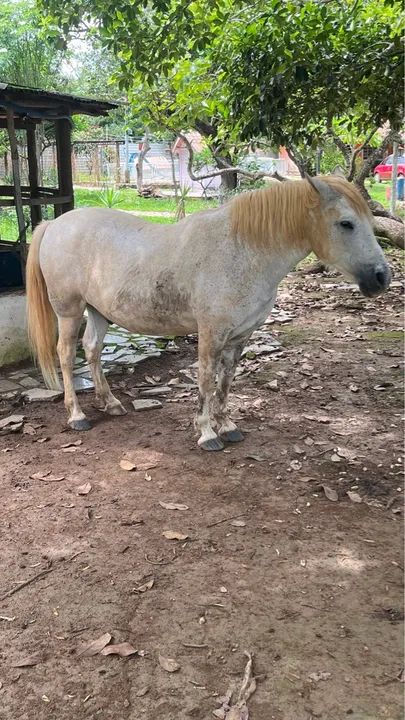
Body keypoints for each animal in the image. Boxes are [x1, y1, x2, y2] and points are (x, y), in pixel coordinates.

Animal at [26, 175, 391, 451]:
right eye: (346, 223)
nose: (382, 277)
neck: (243, 251)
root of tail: (55, 224)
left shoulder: (240, 336)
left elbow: (226, 381)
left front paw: (226, 425)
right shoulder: (211, 333)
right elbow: (205, 378)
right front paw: (206, 433)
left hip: (98, 311)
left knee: (92, 349)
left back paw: (111, 403)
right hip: (70, 311)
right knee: (65, 355)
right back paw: (77, 415)